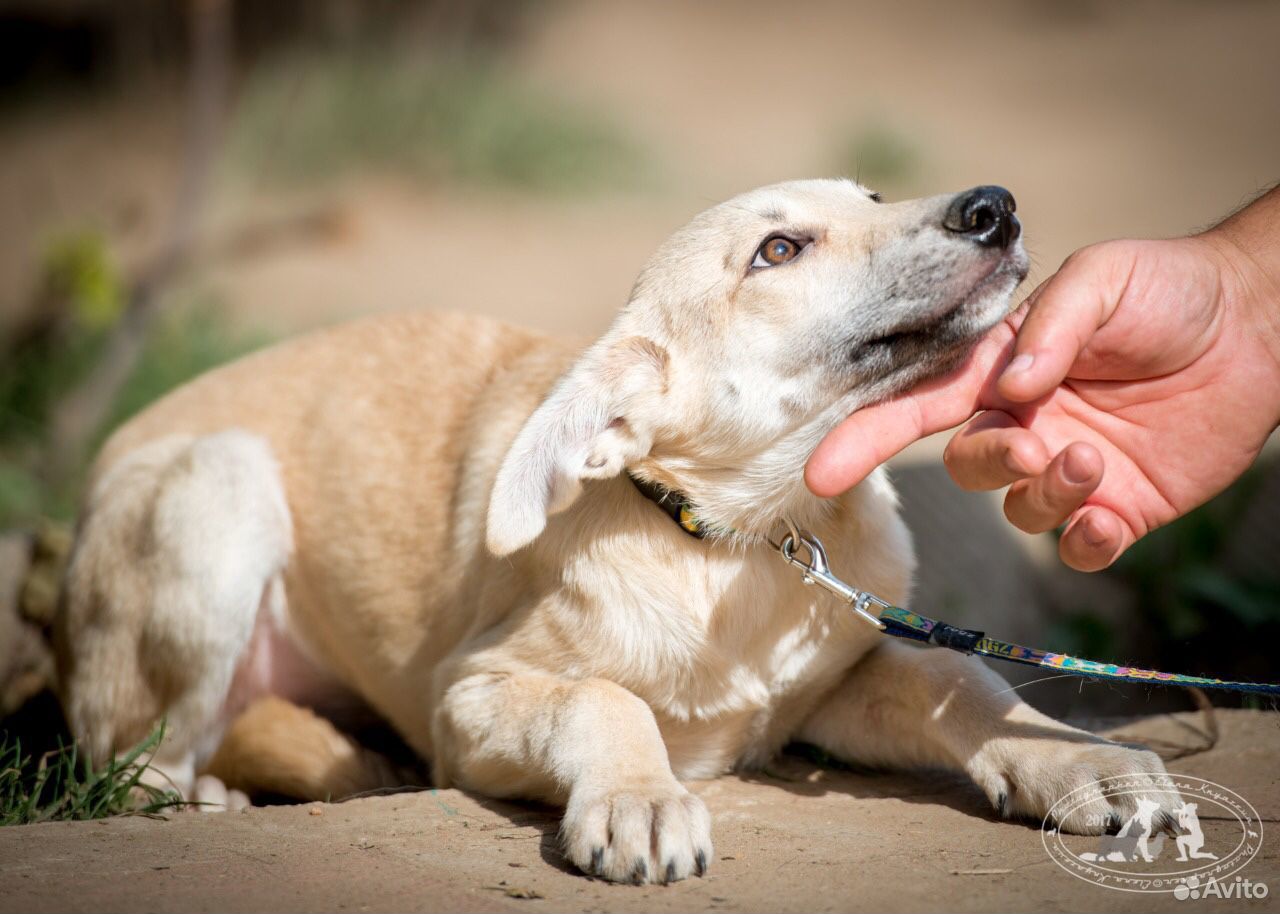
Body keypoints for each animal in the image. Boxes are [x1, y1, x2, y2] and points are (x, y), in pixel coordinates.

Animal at [55, 179, 1172, 880]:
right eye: (777, 250)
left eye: (867, 198)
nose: (995, 207)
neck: (738, 541)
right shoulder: (470, 697)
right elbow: (602, 696)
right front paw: (641, 797)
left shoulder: (834, 683)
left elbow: (958, 676)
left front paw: (1081, 762)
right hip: (220, 491)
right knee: (129, 764)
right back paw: (205, 795)